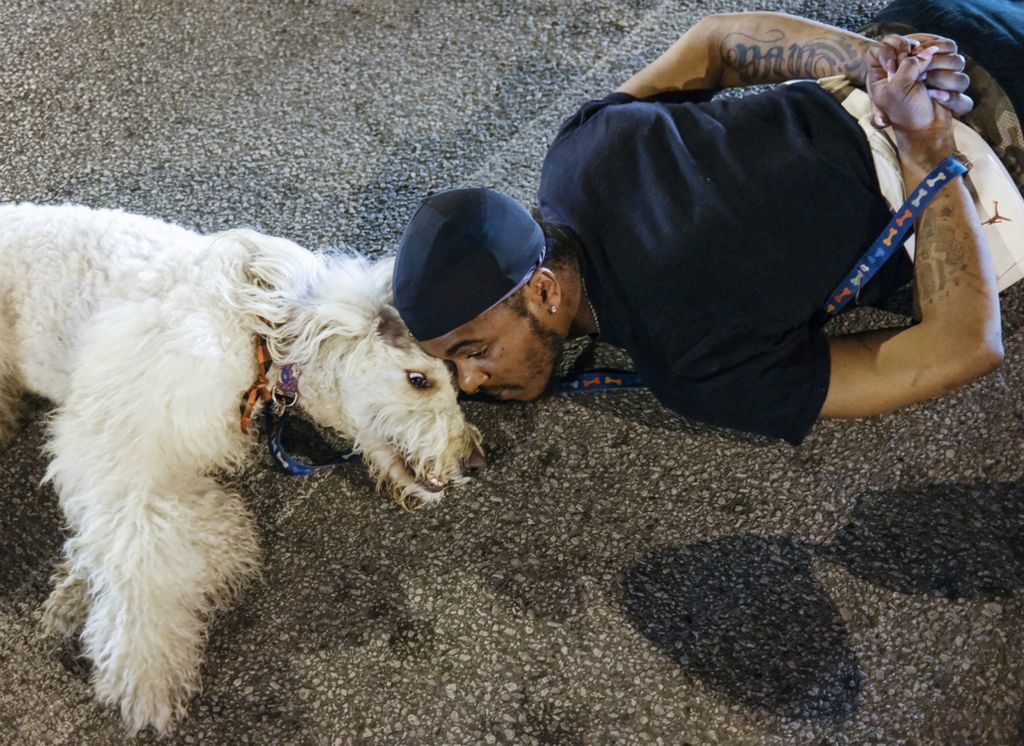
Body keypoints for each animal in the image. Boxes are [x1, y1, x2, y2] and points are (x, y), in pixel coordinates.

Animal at [0, 203, 483, 732]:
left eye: (456, 383)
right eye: (419, 380)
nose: (476, 463)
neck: (257, 329)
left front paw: (78, 592)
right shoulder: (117, 442)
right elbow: (143, 550)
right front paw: (148, 672)